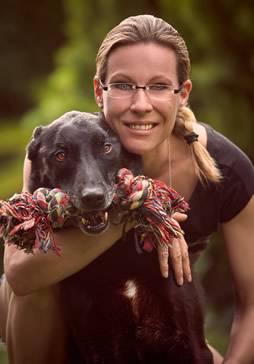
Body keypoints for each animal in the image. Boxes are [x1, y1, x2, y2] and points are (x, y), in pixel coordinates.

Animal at [26, 111, 212, 364]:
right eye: (61, 155)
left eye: (106, 148)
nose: (93, 197)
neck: (117, 257)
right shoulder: (98, 344)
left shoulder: (191, 342)